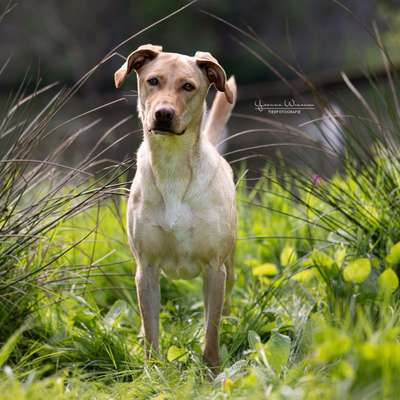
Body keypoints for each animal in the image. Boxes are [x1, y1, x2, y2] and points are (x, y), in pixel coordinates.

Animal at [114, 43, 236, 368]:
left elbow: (211, 330)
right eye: (153, 80)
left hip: (229, 267)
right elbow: (151, 329)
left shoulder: (214, 269)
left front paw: (211, 369)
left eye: (188, 86)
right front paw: (153, 370)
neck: (172, 167)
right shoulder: (146, 268)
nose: (163, 114)